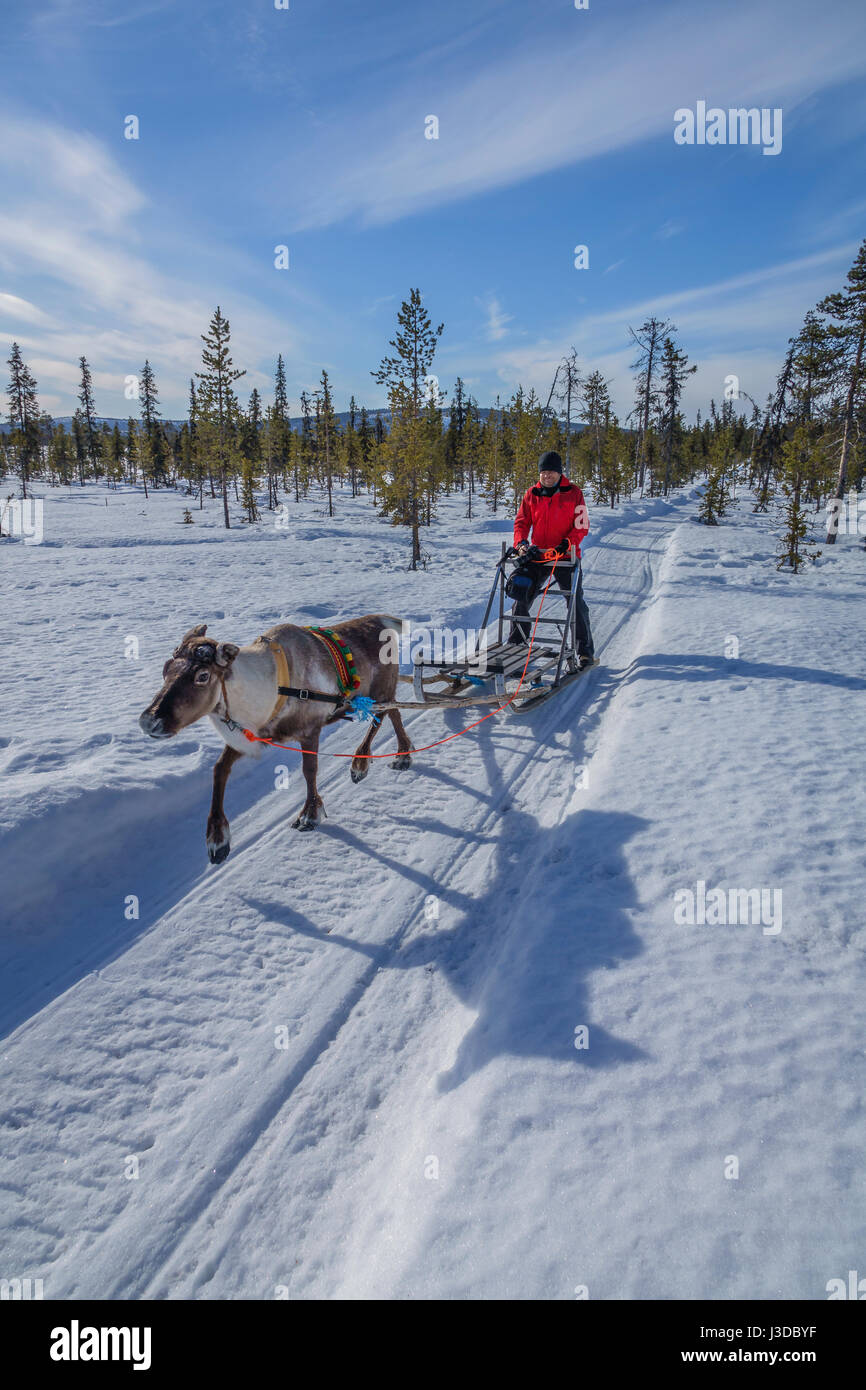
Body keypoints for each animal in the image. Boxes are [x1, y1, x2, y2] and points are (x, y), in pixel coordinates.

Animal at [138, 616, 413, 863]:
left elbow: (309, 770)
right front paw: (217, 840)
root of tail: (383, 621)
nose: (149, 721)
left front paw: (310, 814)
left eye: (203, 676)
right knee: (395, 712)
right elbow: (219, 769)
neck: (272, 687)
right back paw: (403, 755)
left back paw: (360, 764)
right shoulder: (253, 734)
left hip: (379, 692)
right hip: (384, 693)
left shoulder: (310, 730)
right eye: (166, 668)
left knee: (381, 718)